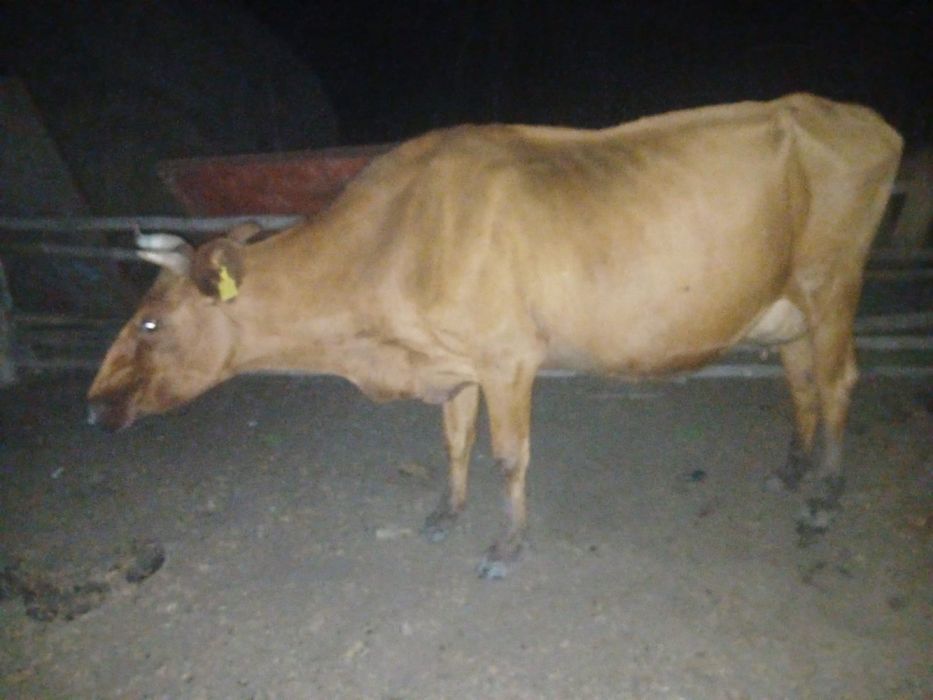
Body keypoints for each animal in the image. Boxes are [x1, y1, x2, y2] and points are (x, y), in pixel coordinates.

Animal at [88, 93, 902, 578]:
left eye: (150, 321)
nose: (93, 407)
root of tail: (854, 116)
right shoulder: (454, 362)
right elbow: (454, 444)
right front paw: (445, 513)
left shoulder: (508, 357)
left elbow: (508, 455)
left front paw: (507, 545)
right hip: (784, 306)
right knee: (800, 381)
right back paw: (791, 471)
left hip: (832, 283)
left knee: (838, 381)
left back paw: (825, 495)